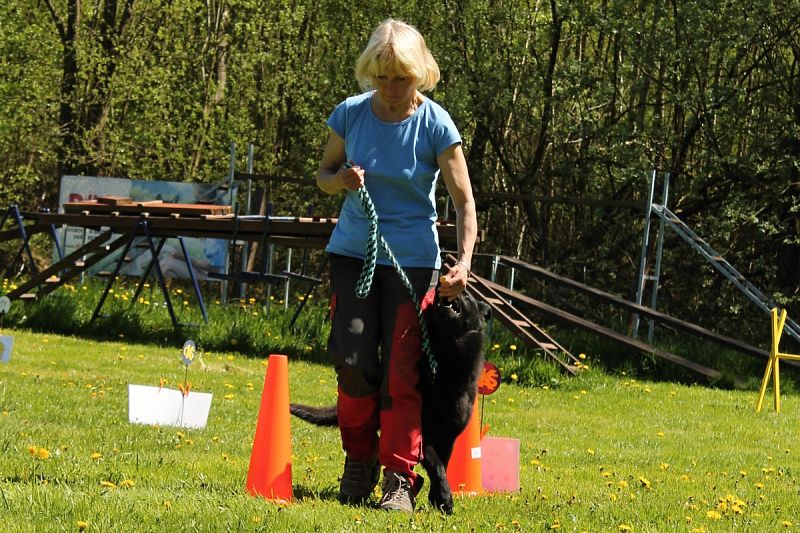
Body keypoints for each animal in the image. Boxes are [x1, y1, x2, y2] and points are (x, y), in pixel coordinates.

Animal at [288, 288, 488, 512]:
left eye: (466, 295)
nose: (438, 288)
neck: (445, 359)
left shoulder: (448, 437)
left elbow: (442, 467)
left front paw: (438, 499)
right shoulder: (424, 436)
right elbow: (436, 465)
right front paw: (444, 496)